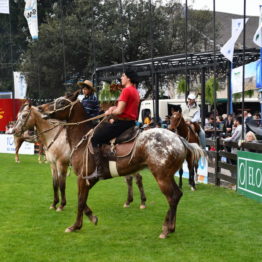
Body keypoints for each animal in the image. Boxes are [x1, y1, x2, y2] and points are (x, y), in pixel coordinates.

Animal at [39, 90, 204, 239]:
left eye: (61, 102)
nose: (41, 108)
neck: (82, 141)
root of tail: (179, 139)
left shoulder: (83, 177)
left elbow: (80, 201)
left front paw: (75, 226)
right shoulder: (89, 179)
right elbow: (82, 200)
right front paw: (92, 217)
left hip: (161, 176)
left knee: (173, 197)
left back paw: (166, 229)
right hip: (168, 176)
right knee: (177, 195)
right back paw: (171, 227)